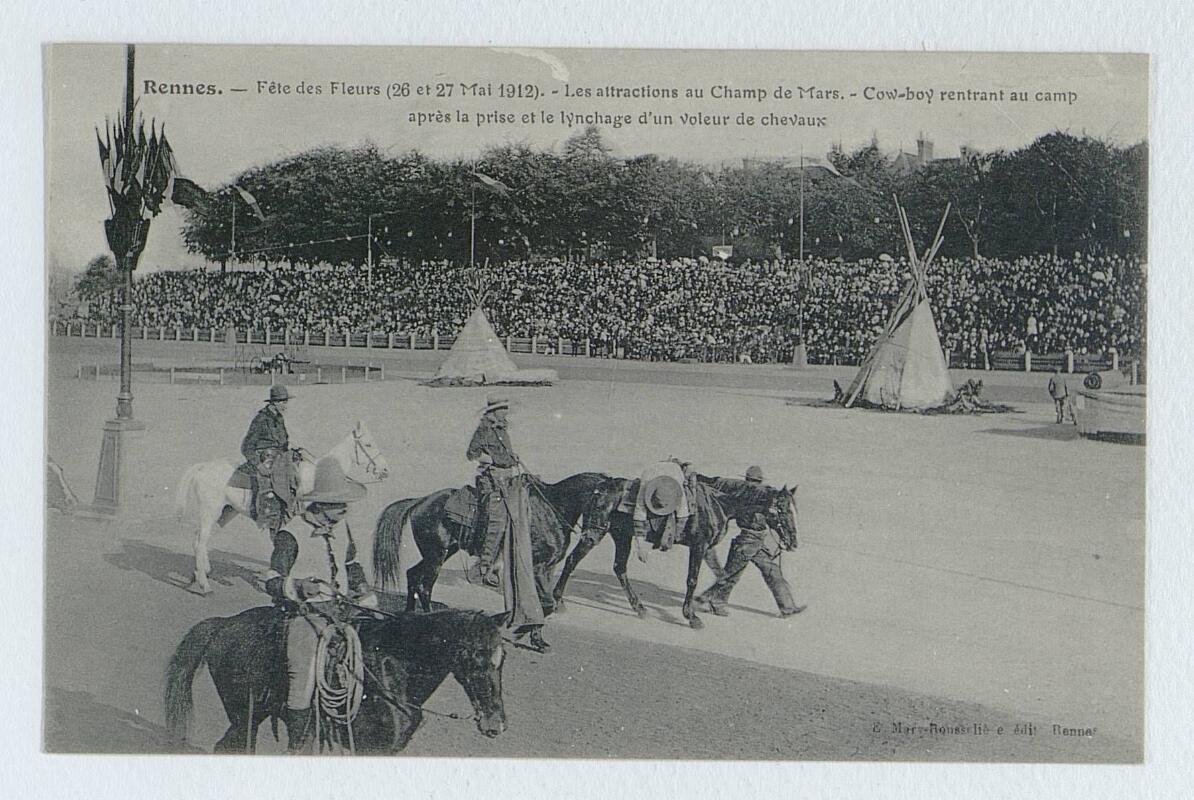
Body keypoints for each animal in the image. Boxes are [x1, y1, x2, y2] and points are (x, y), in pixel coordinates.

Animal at [164, 608, 508, 759]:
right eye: (473, 656)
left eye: (501, 659)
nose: (496, 724)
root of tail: (224, 624)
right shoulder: (371, 749)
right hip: (244, 718)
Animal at [174, 420, 389, 594]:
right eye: (368, 444)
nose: (385, 470)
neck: (318, 478)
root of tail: (201, 467)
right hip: (209, 512)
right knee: (199, 542)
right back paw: (204, 585)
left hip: (224, 513)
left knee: (201, 541)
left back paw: (200, 573)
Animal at [372, 472, 611, 616]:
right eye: (598, 504)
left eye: (614, 507)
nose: (592, 538)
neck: (551, 508)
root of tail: (419, 501)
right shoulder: (537, 566)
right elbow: (544, 602)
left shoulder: (548, 567)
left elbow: (544, 601)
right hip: (436, 555)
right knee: (424, 586)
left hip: (443, 552)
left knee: (412, 574)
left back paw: (409, 613)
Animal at [551, 472, 797, 630]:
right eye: (783, 510)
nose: (793, 542)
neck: (716, 503)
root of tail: (600, 485)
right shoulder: (699, 546)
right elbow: (693, 579)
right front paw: (692, 615)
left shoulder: (708, 549)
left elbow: (723, 574)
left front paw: (708, 602)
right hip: (595, 532)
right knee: (572, 560)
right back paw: (558, 601)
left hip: (622, 536)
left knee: (619, 568)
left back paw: (640, 608)